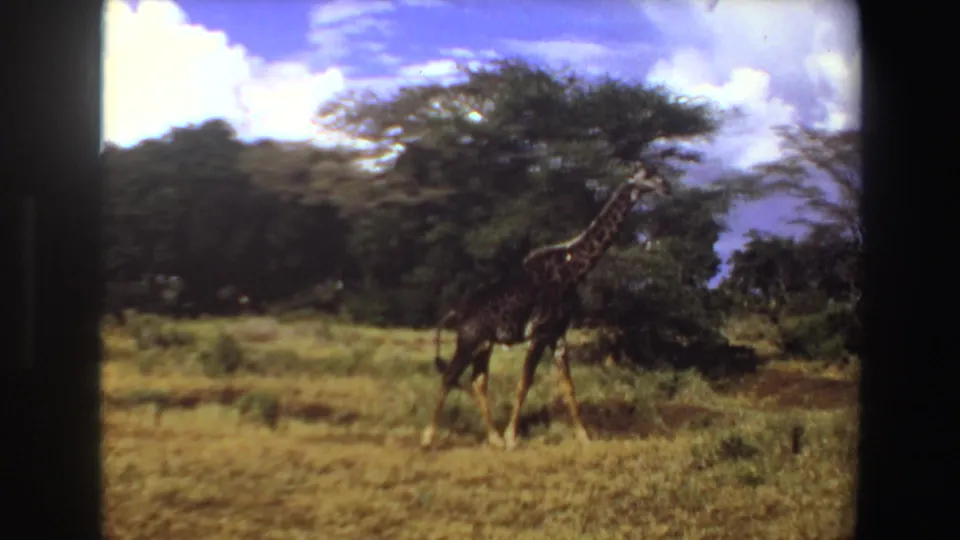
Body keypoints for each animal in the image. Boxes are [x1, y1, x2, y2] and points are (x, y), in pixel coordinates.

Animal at [422, 164, 672, 450]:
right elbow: (525, 382)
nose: (666, 187)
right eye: (646, 176)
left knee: (477, 381)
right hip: (468, 339)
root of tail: (455, 311)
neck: (571, 270)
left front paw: (585, 436)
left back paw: (493, 438)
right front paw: (512, 438)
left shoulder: (558, 334)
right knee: (450, 376)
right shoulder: (540, 333)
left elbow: (568, 385)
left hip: (484, 344)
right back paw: (428, 438)